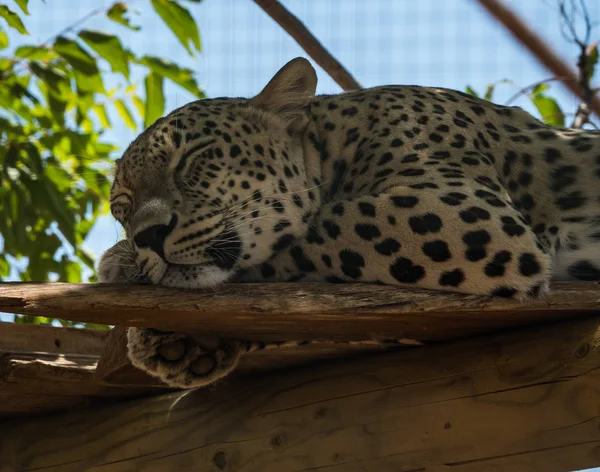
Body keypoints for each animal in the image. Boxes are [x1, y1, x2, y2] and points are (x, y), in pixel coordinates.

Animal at [98, 56, 600, 388]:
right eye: (122, 206)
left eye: (194, 159)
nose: (147, 235)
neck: (337, 141)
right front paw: (177, 342)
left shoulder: (459, 207)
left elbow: (317, 232)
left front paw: (122, 269)